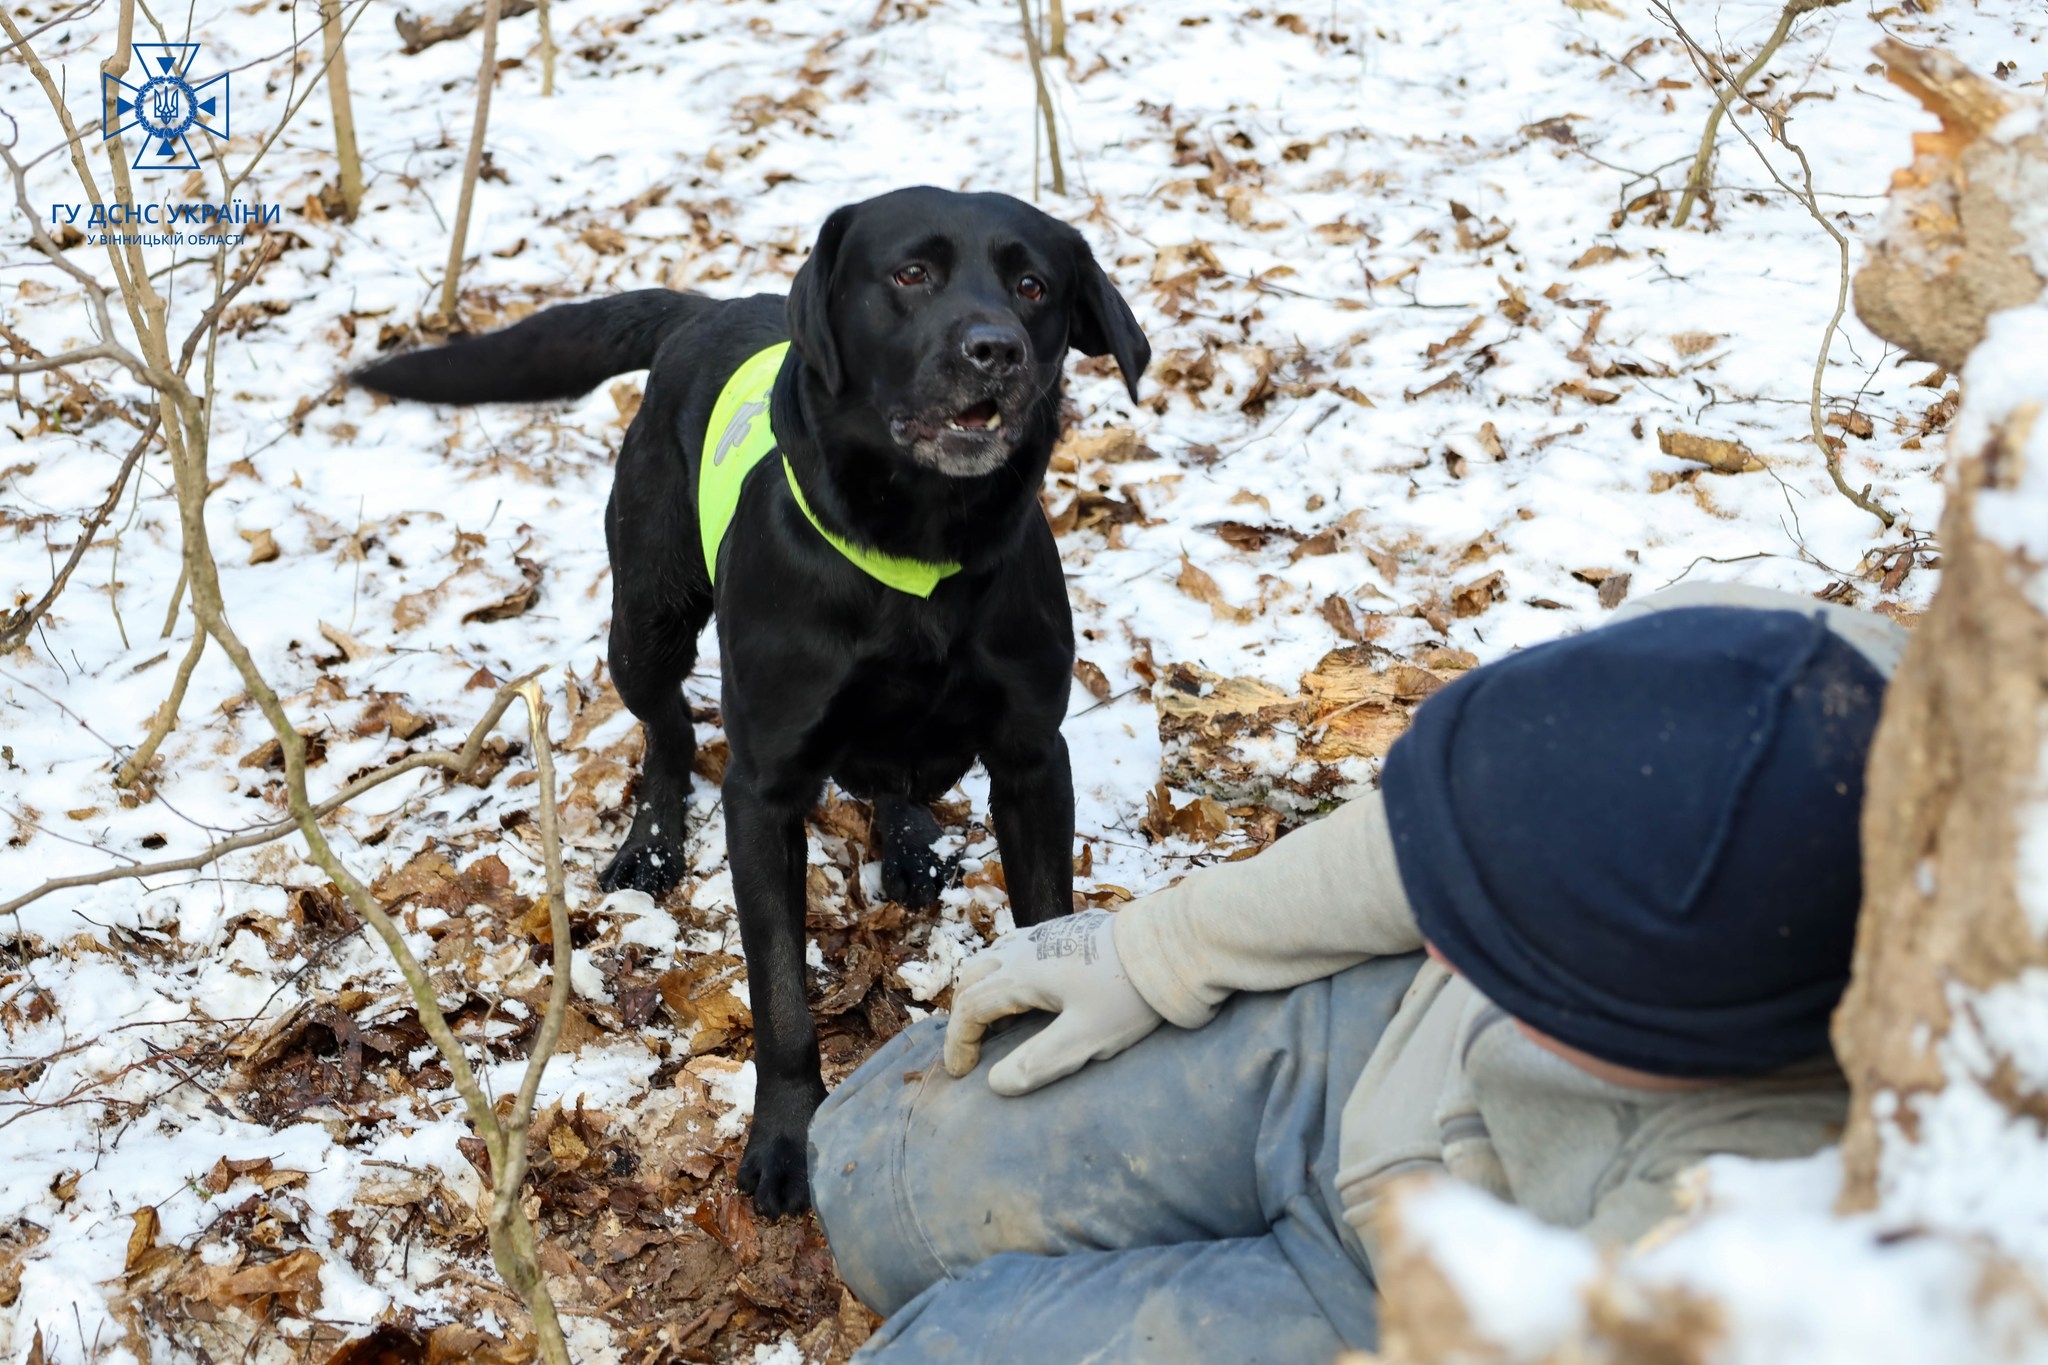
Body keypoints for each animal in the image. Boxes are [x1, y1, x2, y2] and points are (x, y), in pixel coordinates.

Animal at [354, 184, 1155, 1219]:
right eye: (911, 273)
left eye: (1033, 286)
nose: (997, 350)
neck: (919, 549)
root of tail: (699, 311)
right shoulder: (764, 791)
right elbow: (778, 994)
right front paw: (783, 1138)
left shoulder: (1031, 761)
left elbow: (1045, 918)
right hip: (646, 620)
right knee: (667, 728)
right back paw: (652, 843)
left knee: (890, 774)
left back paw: (908, 843)